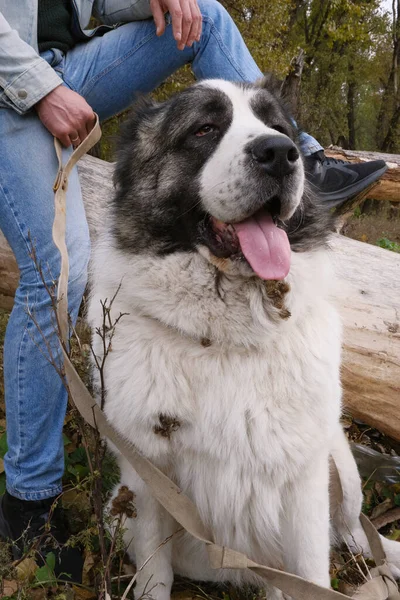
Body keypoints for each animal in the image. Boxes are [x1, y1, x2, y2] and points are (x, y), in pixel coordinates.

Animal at [87, 81, 400, 600]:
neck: (223, 340)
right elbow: (155, 575)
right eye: (204, 129)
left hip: (340, 464)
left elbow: (312, 571)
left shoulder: (304, 484)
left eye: (277, 127)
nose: (280, 154)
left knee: (352, 534)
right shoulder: (148, 481)